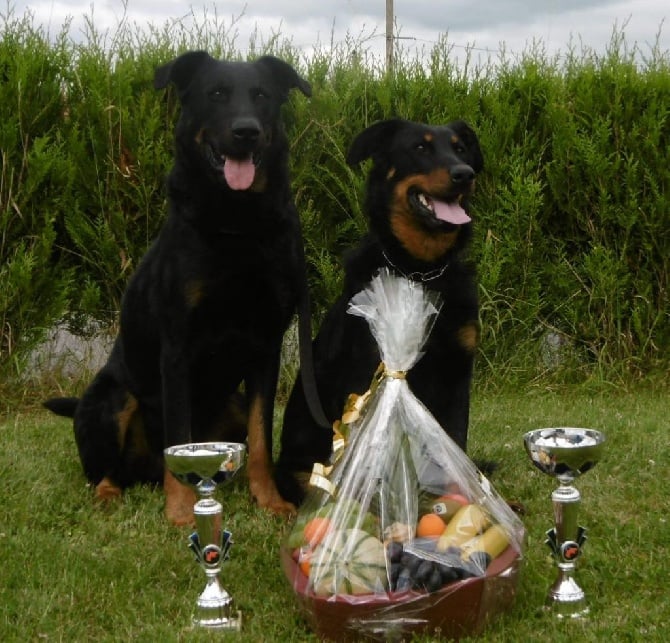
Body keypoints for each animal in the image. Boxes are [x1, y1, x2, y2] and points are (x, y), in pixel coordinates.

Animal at [44, 49, 312, 524]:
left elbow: (263, 439)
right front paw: (184, 511)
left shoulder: (266, 346)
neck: (237, 223)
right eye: (216, 94)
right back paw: (109, 495)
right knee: (105, 470)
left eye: (262, 96)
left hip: (232, 403)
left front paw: (269, 501)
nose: (246, 131)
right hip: (111, 398)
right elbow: (179, 435)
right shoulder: (177, 348)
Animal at [276, 118, 486, 506]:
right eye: (420, 148)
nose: (464, 174)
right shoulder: (370, 371)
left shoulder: (457, 372)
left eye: (461, 148)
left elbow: (455, 445)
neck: (420, 270)